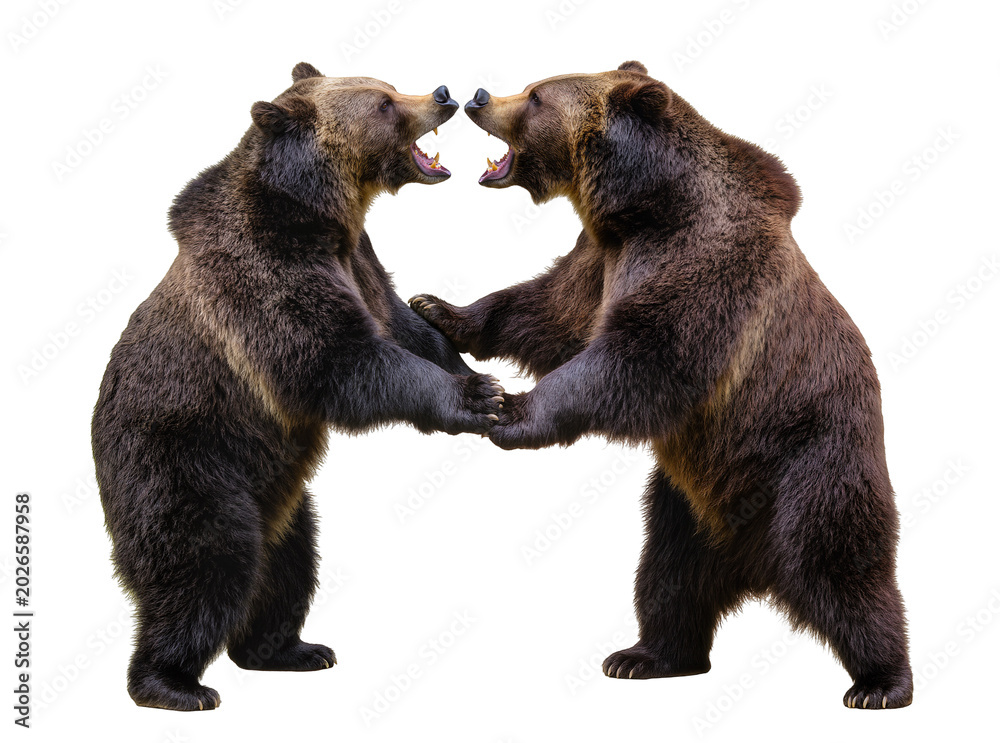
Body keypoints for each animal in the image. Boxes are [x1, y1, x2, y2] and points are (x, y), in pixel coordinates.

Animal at [91, 62, 504, 711]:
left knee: (287, 566)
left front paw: (473, 375)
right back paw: (172, 683)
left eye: (390, 86)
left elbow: (405, 328)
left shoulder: (360, 259)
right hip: (183, 460)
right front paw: (472, 399)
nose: (441, 95)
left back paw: (292, 650)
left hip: (281, 496)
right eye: (383, 103)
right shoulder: (264, 270)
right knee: (203, 562)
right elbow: (335, 359)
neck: (320, 214)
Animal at [410, 61, 913, 709]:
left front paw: (512, 409)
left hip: (811, 459)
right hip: (687, 502)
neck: (646, 207)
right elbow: (546, 313)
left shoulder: (707, 263)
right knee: (668, 575)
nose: (478, 96)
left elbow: (644, 356)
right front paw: (439, 308)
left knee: (837, 562)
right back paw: (645, 656)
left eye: (538, 96)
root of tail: (752, 561)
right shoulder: (600, 259)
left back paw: (880, 682)